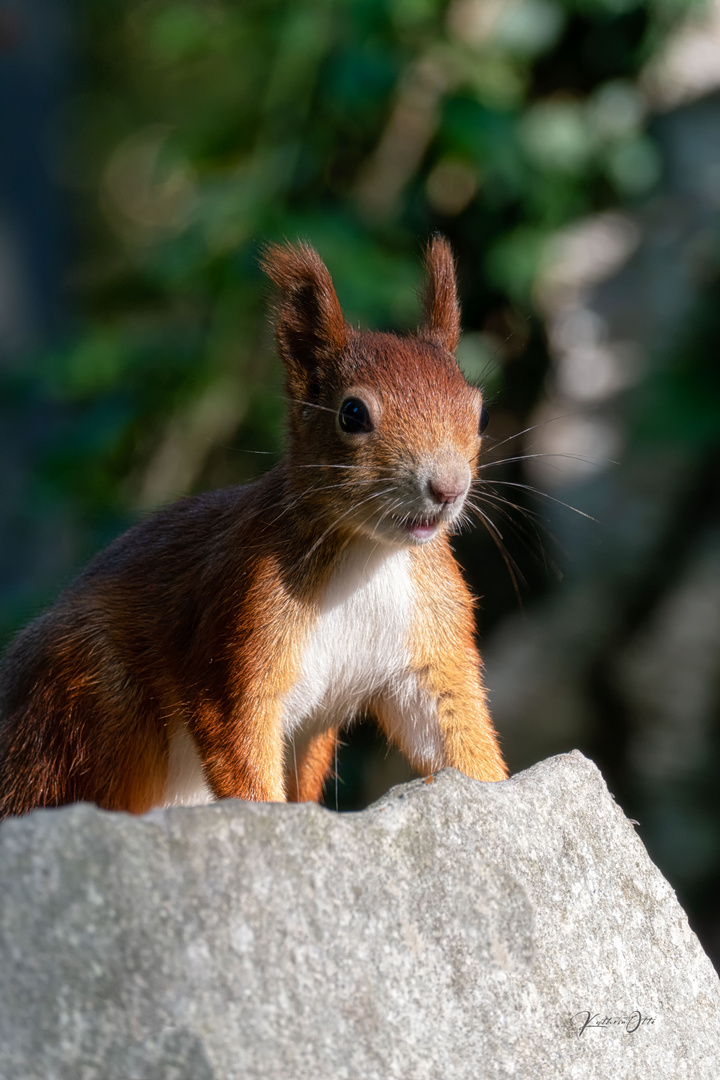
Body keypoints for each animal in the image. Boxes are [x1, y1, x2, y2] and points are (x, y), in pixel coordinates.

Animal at [0, 238, 507, 816]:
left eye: (481, 414)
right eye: (352, 414)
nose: (447, 488)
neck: (369, 554)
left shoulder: (431, 641)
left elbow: (451, 730)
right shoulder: (240, 625)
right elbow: (236, 736)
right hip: (89, 703)